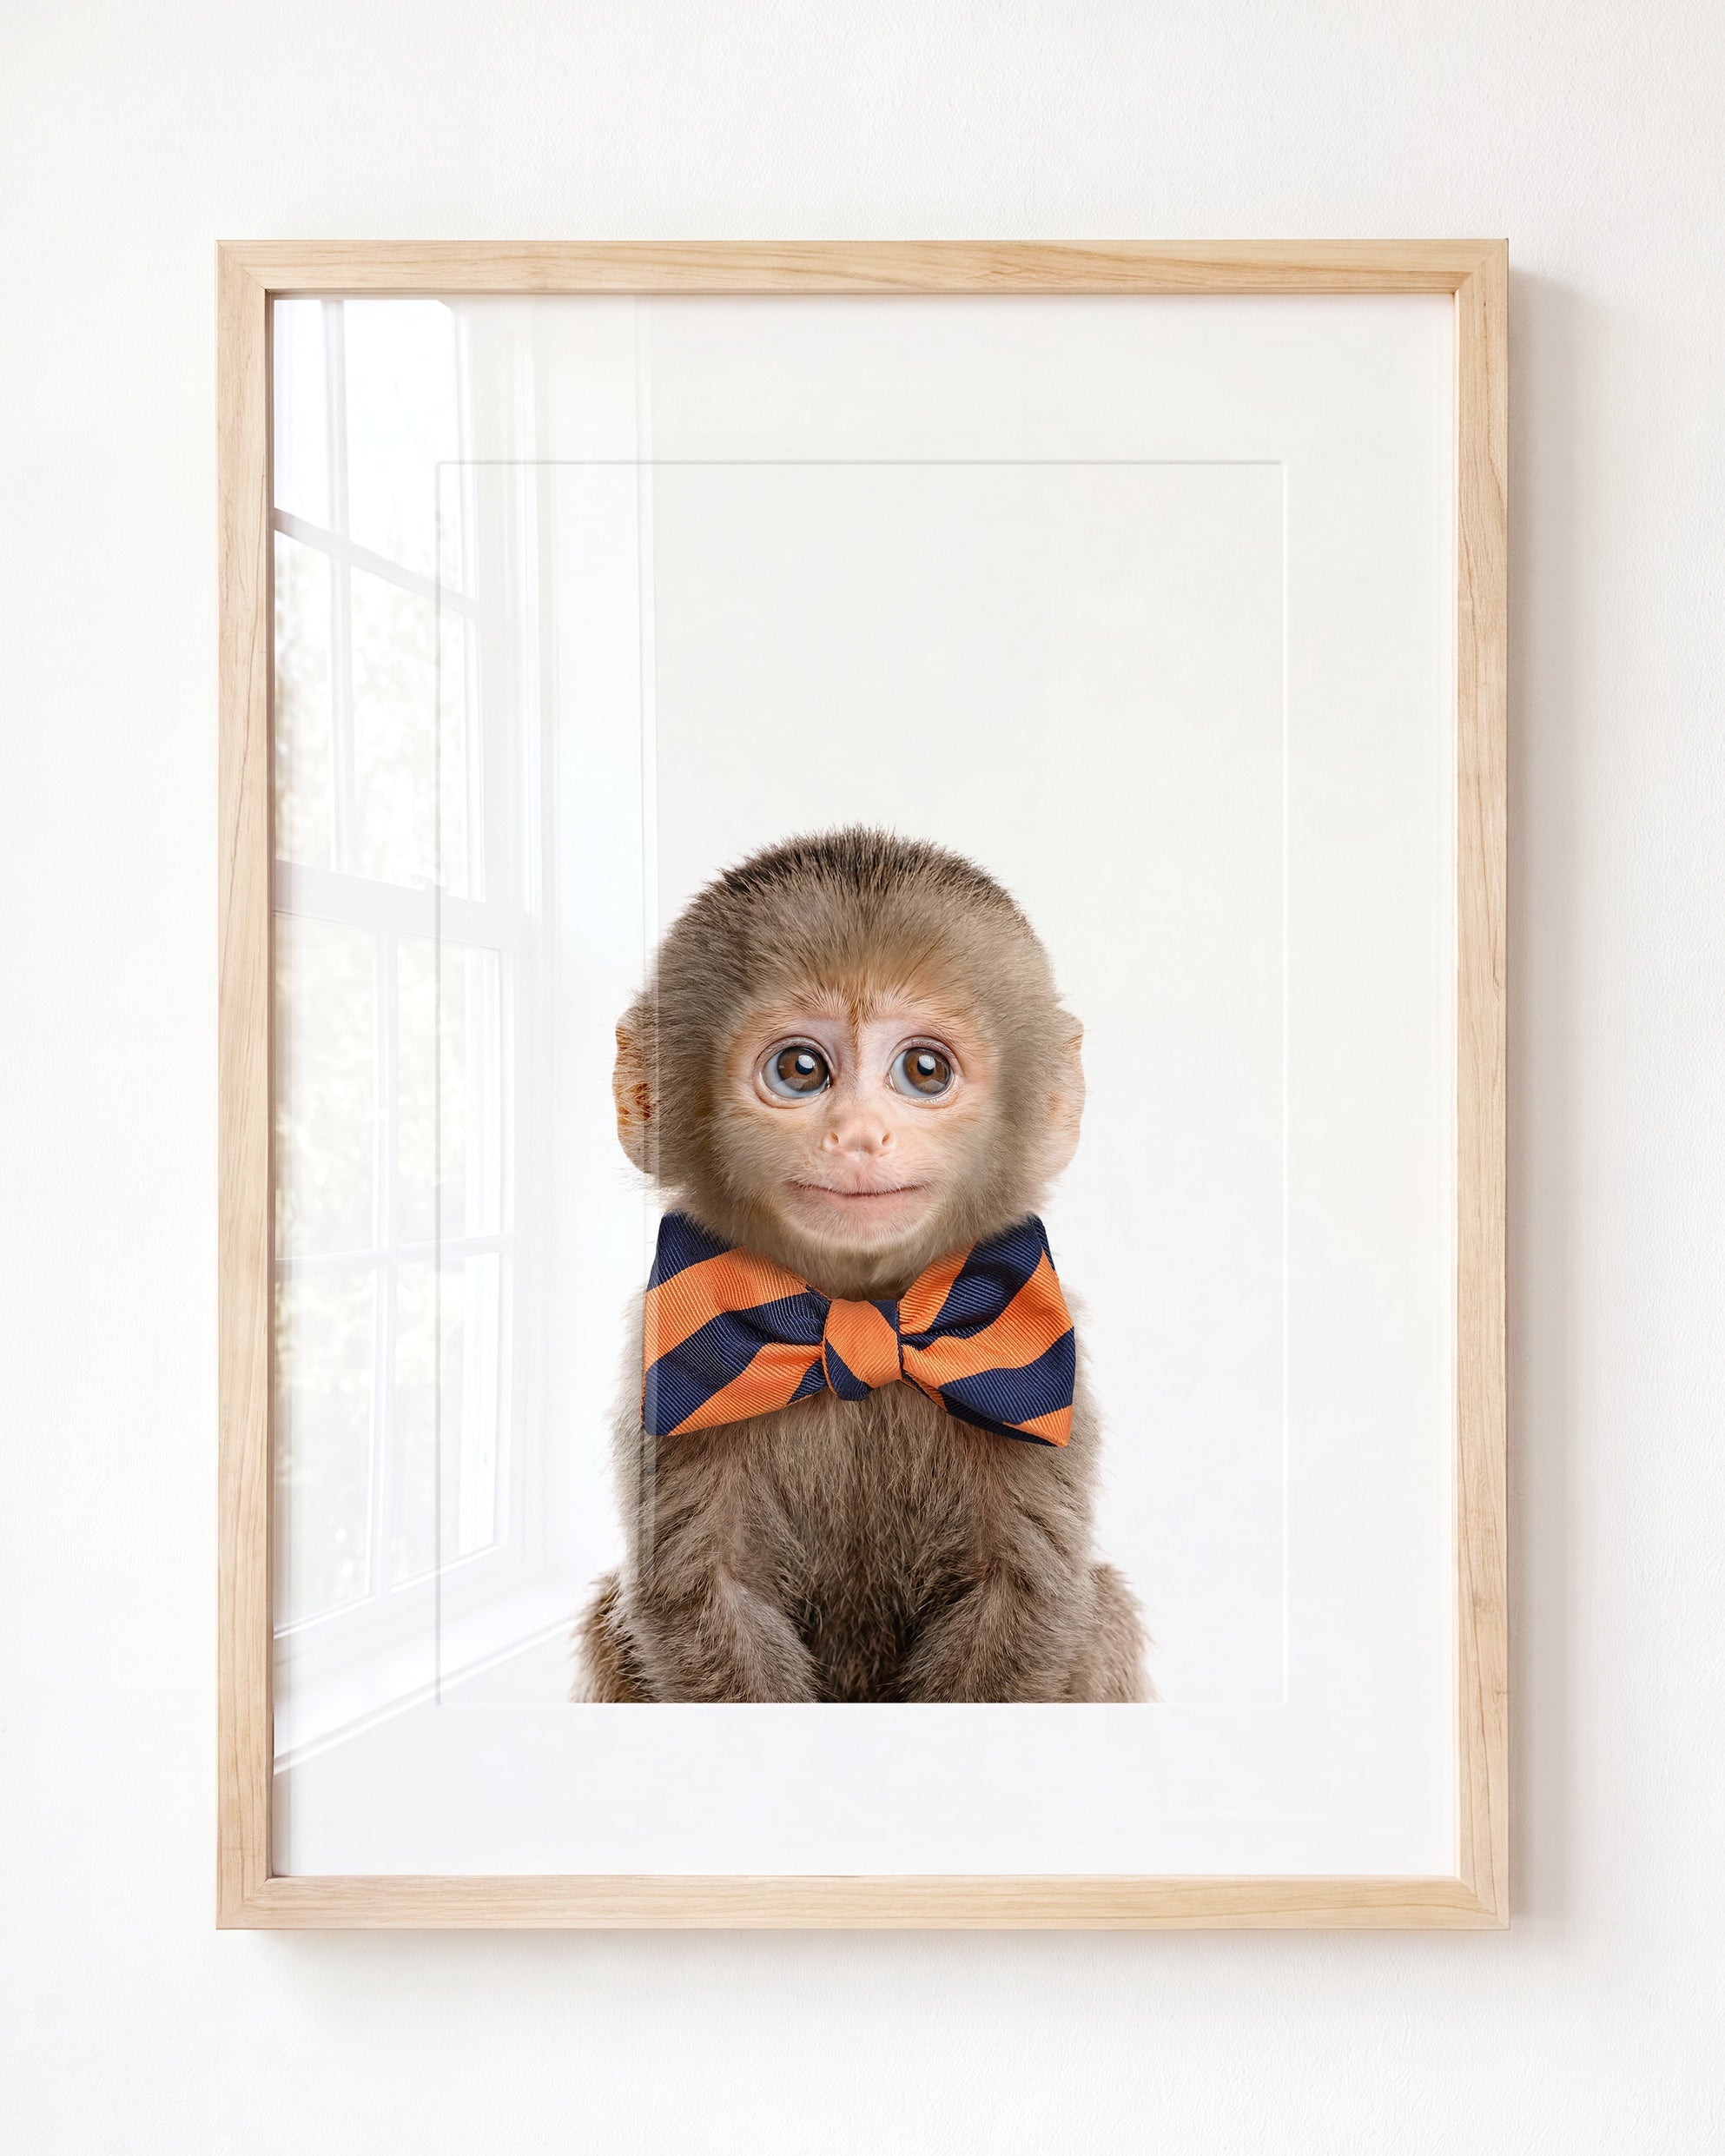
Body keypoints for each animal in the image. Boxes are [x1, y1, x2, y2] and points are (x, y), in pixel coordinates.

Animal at [573, 826, 1147, 1703]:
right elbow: (703, 1596)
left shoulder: (1048, 1369)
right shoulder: (669, 1365)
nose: (859, 1136)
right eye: (801, 1069)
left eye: (924, 1070)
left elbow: (1024, 1595)